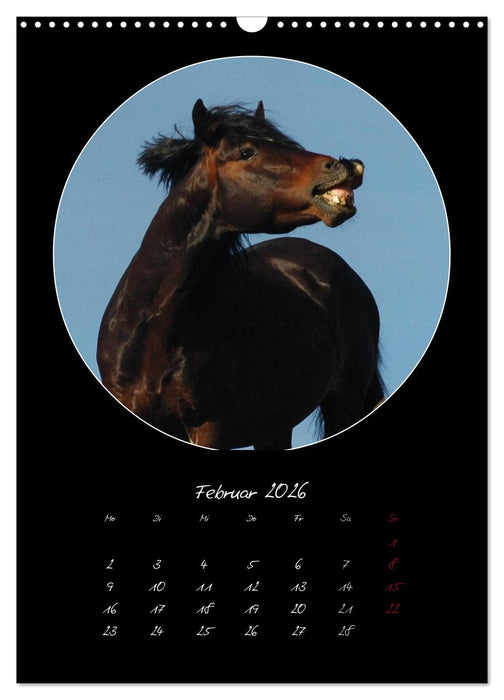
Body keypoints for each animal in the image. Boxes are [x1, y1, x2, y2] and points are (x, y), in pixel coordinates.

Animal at [97, 99, 384, 449]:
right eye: (247, 152)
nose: (345, 166)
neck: (151, 327)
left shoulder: (209, 426)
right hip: (275, 426)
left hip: (343, 402)